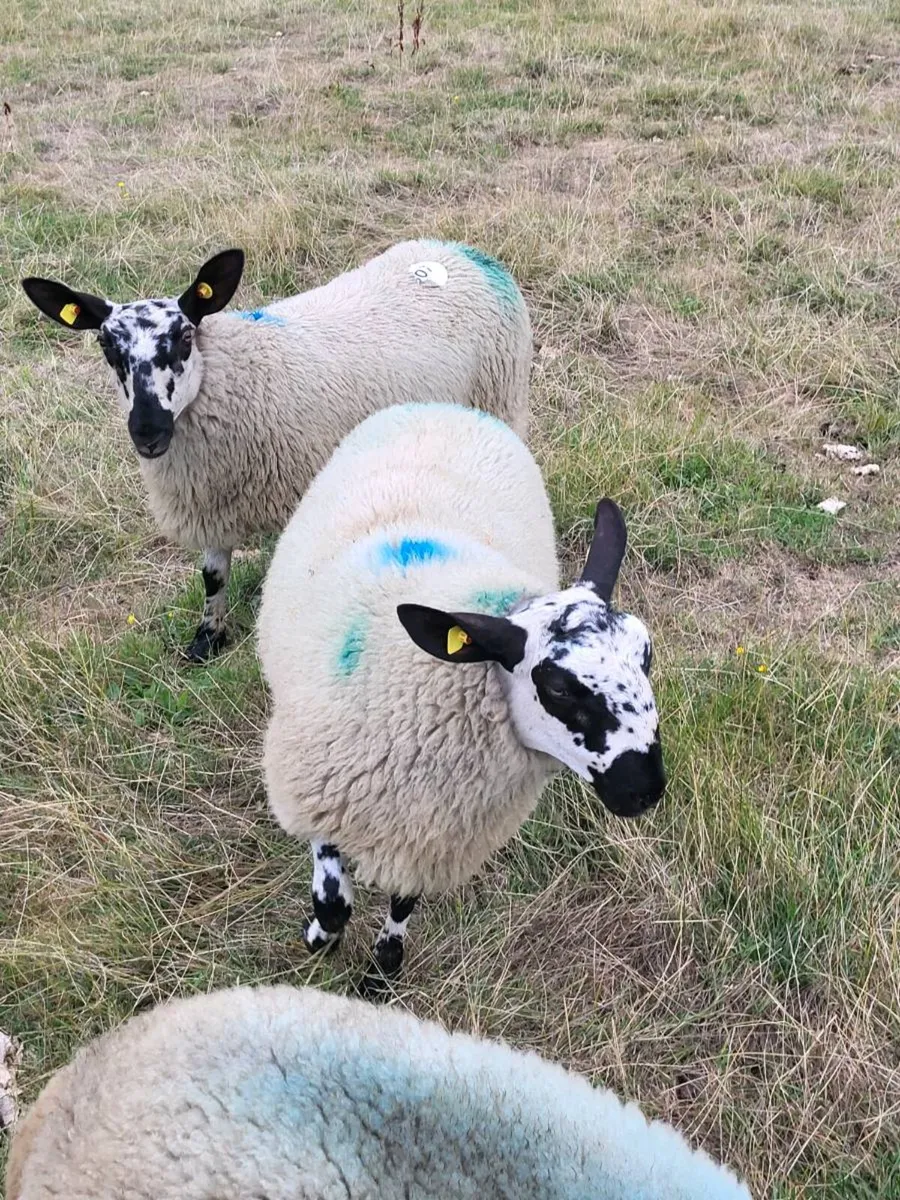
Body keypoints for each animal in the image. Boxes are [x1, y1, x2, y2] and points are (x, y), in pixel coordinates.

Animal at [20, 241, 532, 661]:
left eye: (185, 337)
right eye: (107, 346)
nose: (148, 432)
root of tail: (464, 251)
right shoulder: (211, 498)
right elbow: (213, 575)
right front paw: (207, 639)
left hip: (500, 400)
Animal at [257, 402, 666, 992]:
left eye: (646, 654)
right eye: (558, 686)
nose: (647, 790)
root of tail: (446, 407)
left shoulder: (438, 831)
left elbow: (403, 903)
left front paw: (382, 972)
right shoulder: (321, 794)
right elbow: (334, 904)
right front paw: (318, 941)